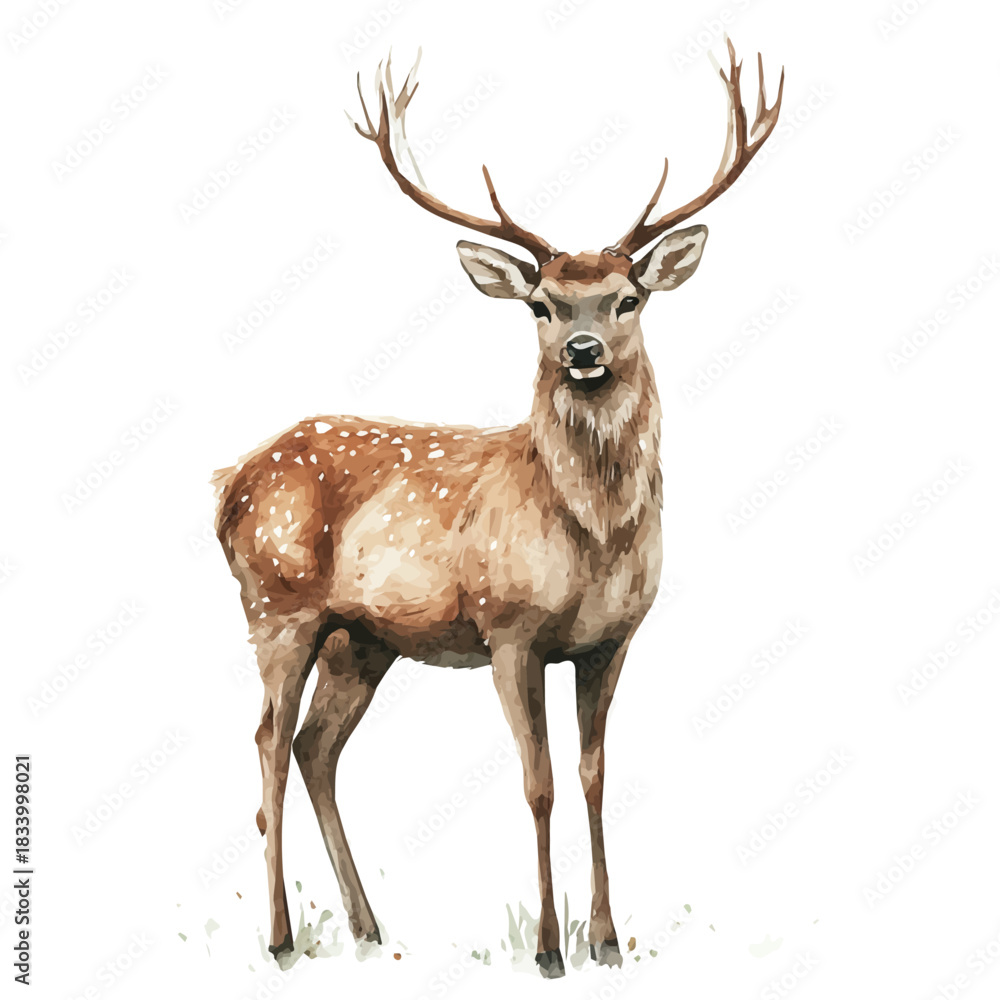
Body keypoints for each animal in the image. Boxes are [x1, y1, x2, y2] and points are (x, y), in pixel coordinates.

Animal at [213, 39, 783, 978]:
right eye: (542, 303)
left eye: (628, 297)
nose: (583, 350)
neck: (591, 538)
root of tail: (228, 481)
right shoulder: (508, 629)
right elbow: (539, 783)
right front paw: (550, 949)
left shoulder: (612, 640)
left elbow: (593, 776)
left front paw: (608, 940)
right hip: (277, 604)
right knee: (266, 744)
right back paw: (282, 936)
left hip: (361, 638)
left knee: (315, 747)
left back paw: (368, 927)